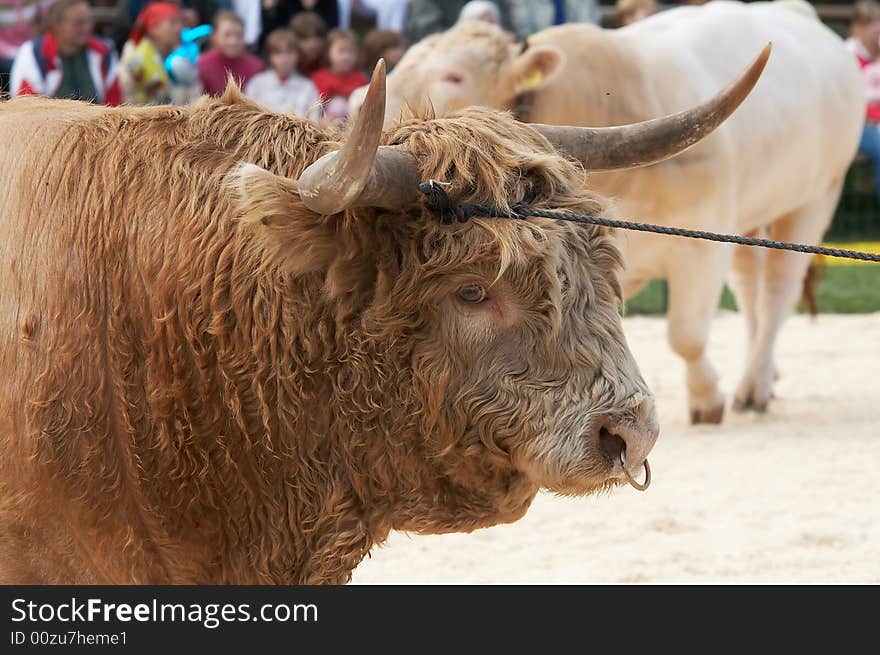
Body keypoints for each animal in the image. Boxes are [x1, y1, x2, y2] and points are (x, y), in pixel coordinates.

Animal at [358, 0, 868, 426]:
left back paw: (754, 386)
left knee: (778, 286)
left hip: (815, 197)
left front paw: (707, 399)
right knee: (750, 286)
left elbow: (686, 334)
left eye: (454, 76)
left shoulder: (704, 241)